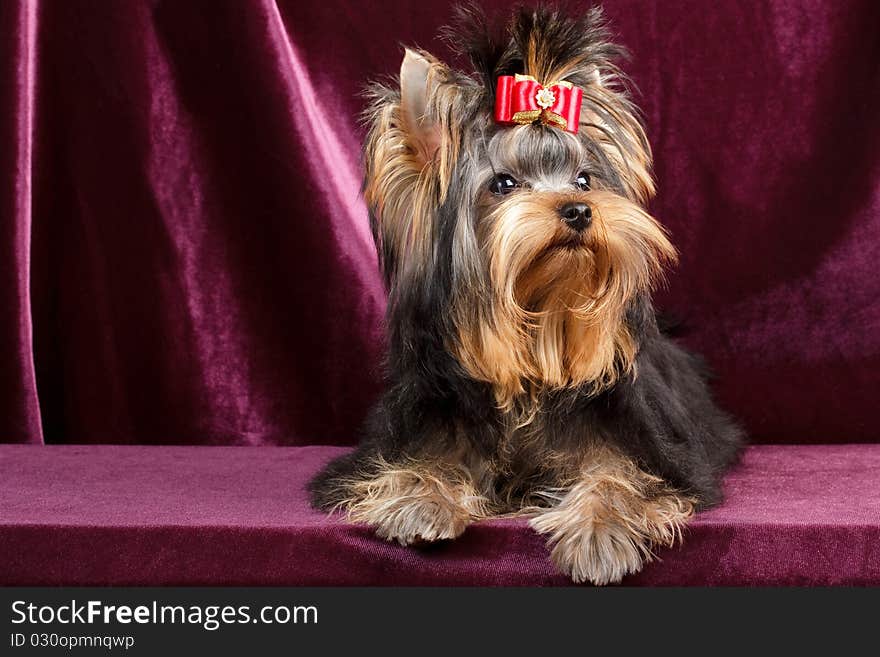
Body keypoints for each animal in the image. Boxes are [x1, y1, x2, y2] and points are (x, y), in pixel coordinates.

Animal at [310, 3, 744, 584]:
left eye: (584, 180)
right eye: (503, 185)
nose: (579, 210)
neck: (531, 358)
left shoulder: (661, 455)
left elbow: (618, 475)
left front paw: (601, 531)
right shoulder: (404, 436)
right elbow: (411, 466)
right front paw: (421, 502)